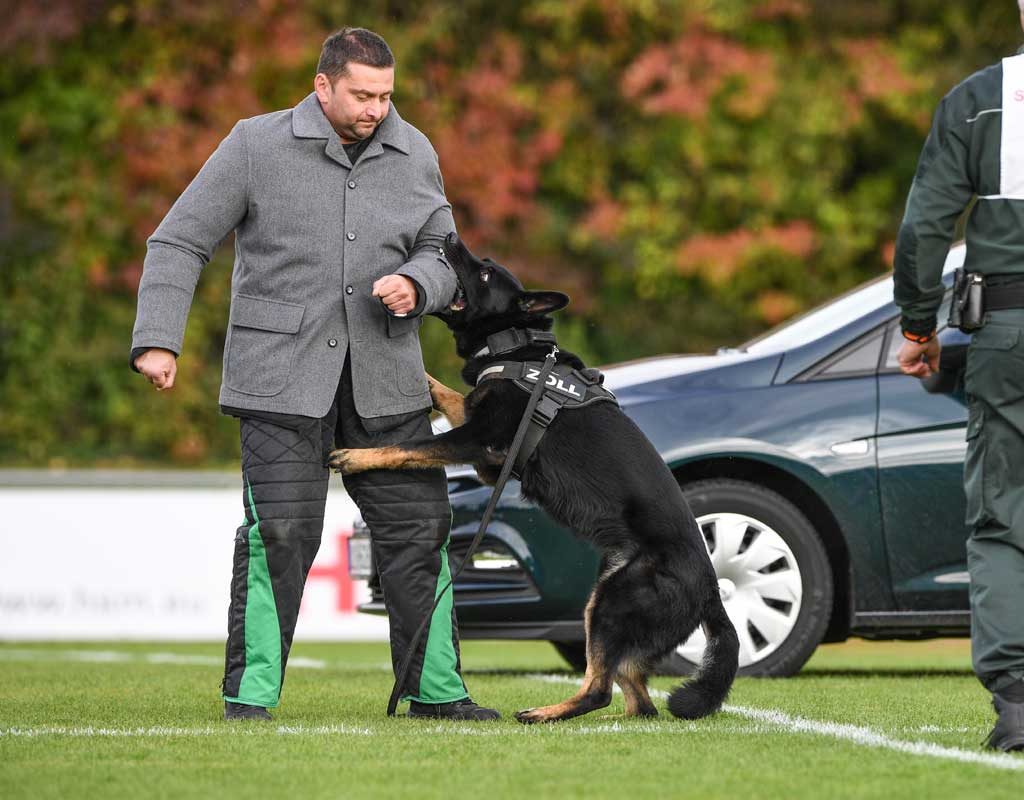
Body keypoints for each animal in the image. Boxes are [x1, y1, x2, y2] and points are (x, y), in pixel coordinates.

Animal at [331, 232, 741, 725]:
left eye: (486, 272)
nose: (450, 236)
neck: (515, 344)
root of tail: (712, 592)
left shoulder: (479, 446)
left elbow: (410, 448)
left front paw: (357, 456)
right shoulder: (489, 455)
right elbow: (450, 394)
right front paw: (423, 380)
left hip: (612, 605)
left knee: (601, 690)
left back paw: (544, 714)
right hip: (602, 601)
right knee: (637, 698)